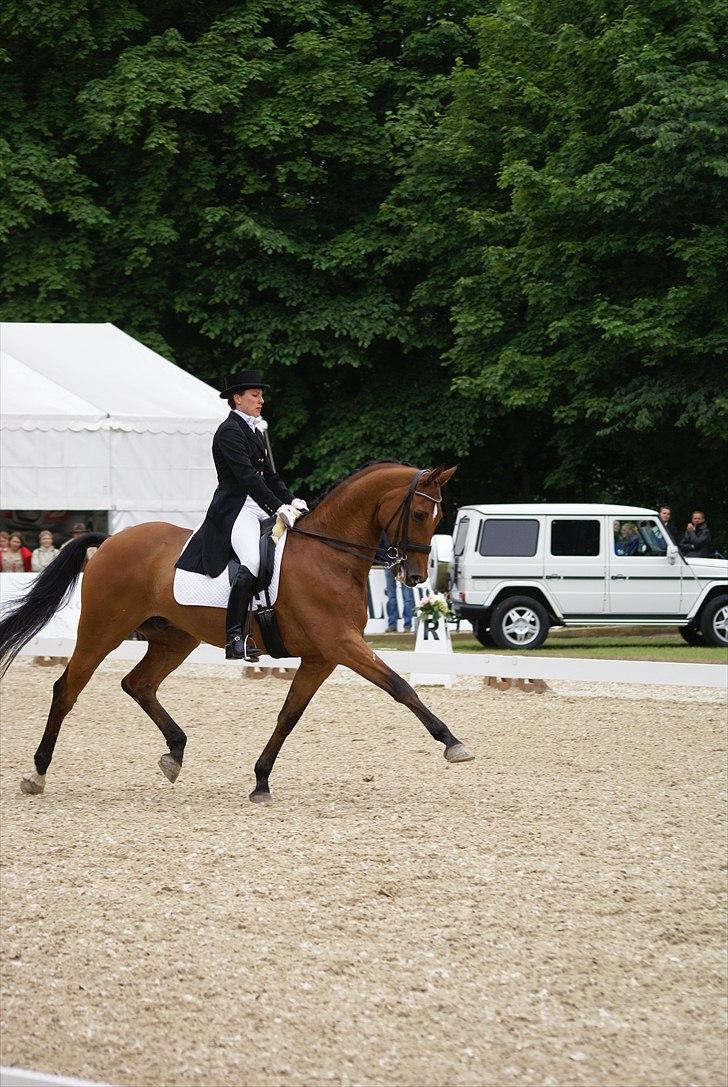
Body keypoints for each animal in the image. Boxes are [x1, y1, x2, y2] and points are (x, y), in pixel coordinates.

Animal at [0, 458, 475, 800]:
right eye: (419, 512)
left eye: (438, 517)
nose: (414, 577)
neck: (331, 555)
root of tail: (112, 541)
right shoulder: (342, 644)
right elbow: (401, 687)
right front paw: (453, 743)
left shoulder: (322, 655)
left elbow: (289, 714)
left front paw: (261, 780)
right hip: (102, 630)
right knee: (67, 689)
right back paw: (37, 774)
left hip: (175, 639)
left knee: (138, 684)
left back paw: (175, 753)